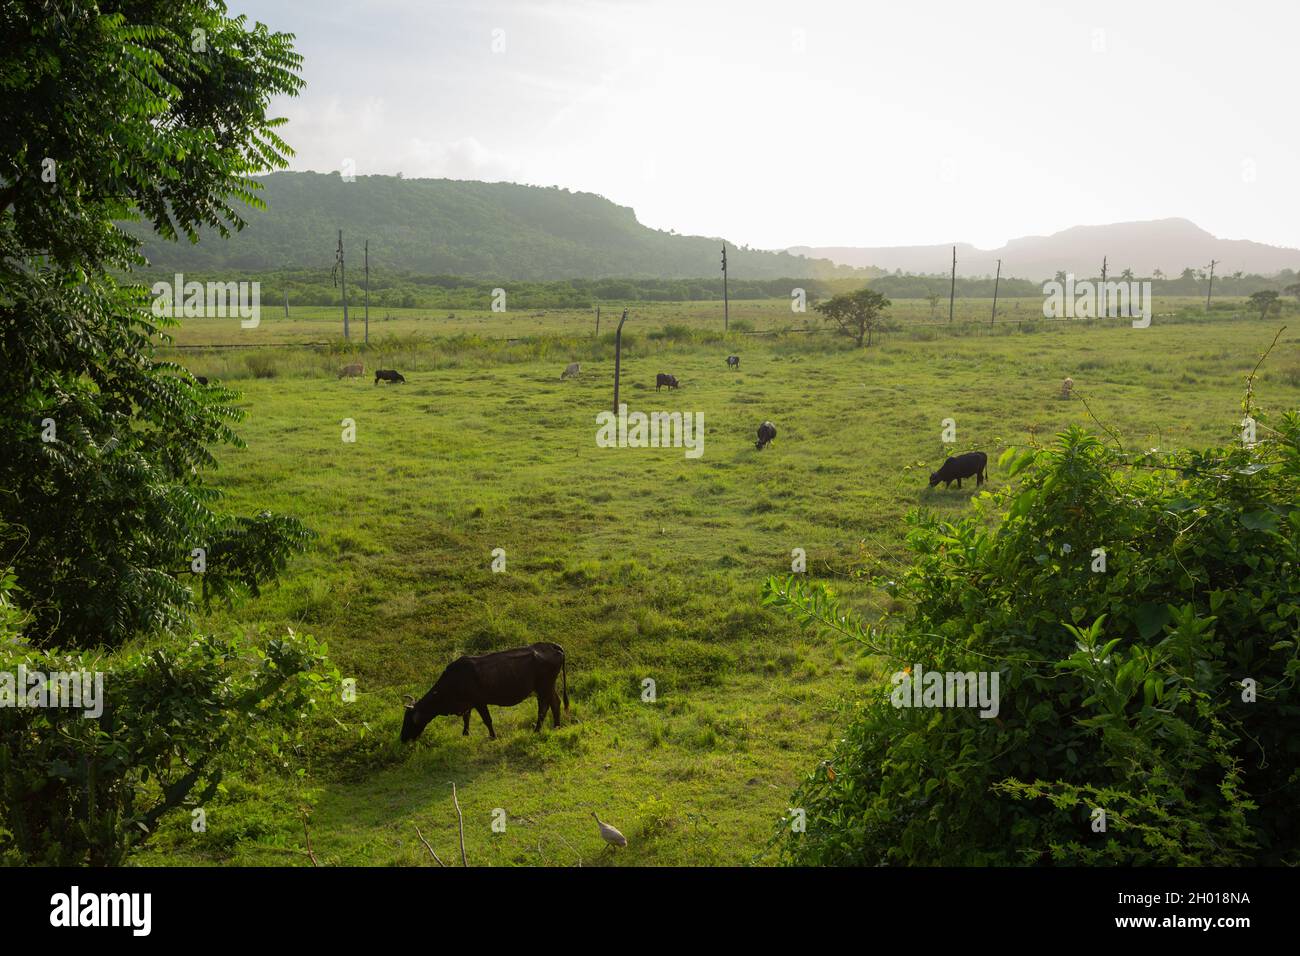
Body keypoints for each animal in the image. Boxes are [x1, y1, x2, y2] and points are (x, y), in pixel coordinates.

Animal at [397, 642, 566, 749]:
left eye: (408, 721)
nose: (402, 739)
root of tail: (551, 645)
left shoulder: (479, 702)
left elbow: (487, 720)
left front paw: (493, 736)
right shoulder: (467, 704)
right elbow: (466, 718)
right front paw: (465, 733)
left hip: (544, 687)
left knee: (545, 707)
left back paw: (540, 729)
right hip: (547, 687)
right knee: (554, 703)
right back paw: (554, 726)